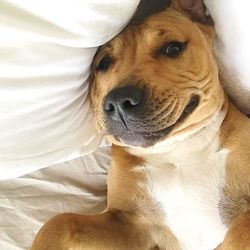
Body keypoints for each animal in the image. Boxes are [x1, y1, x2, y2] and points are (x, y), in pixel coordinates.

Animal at [31, 0, 250, 249]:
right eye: (103, 63)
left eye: (173, 48)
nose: (118, 101)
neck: (177, 151)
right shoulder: (131, 223)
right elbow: (60, 222)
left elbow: (243, 225)